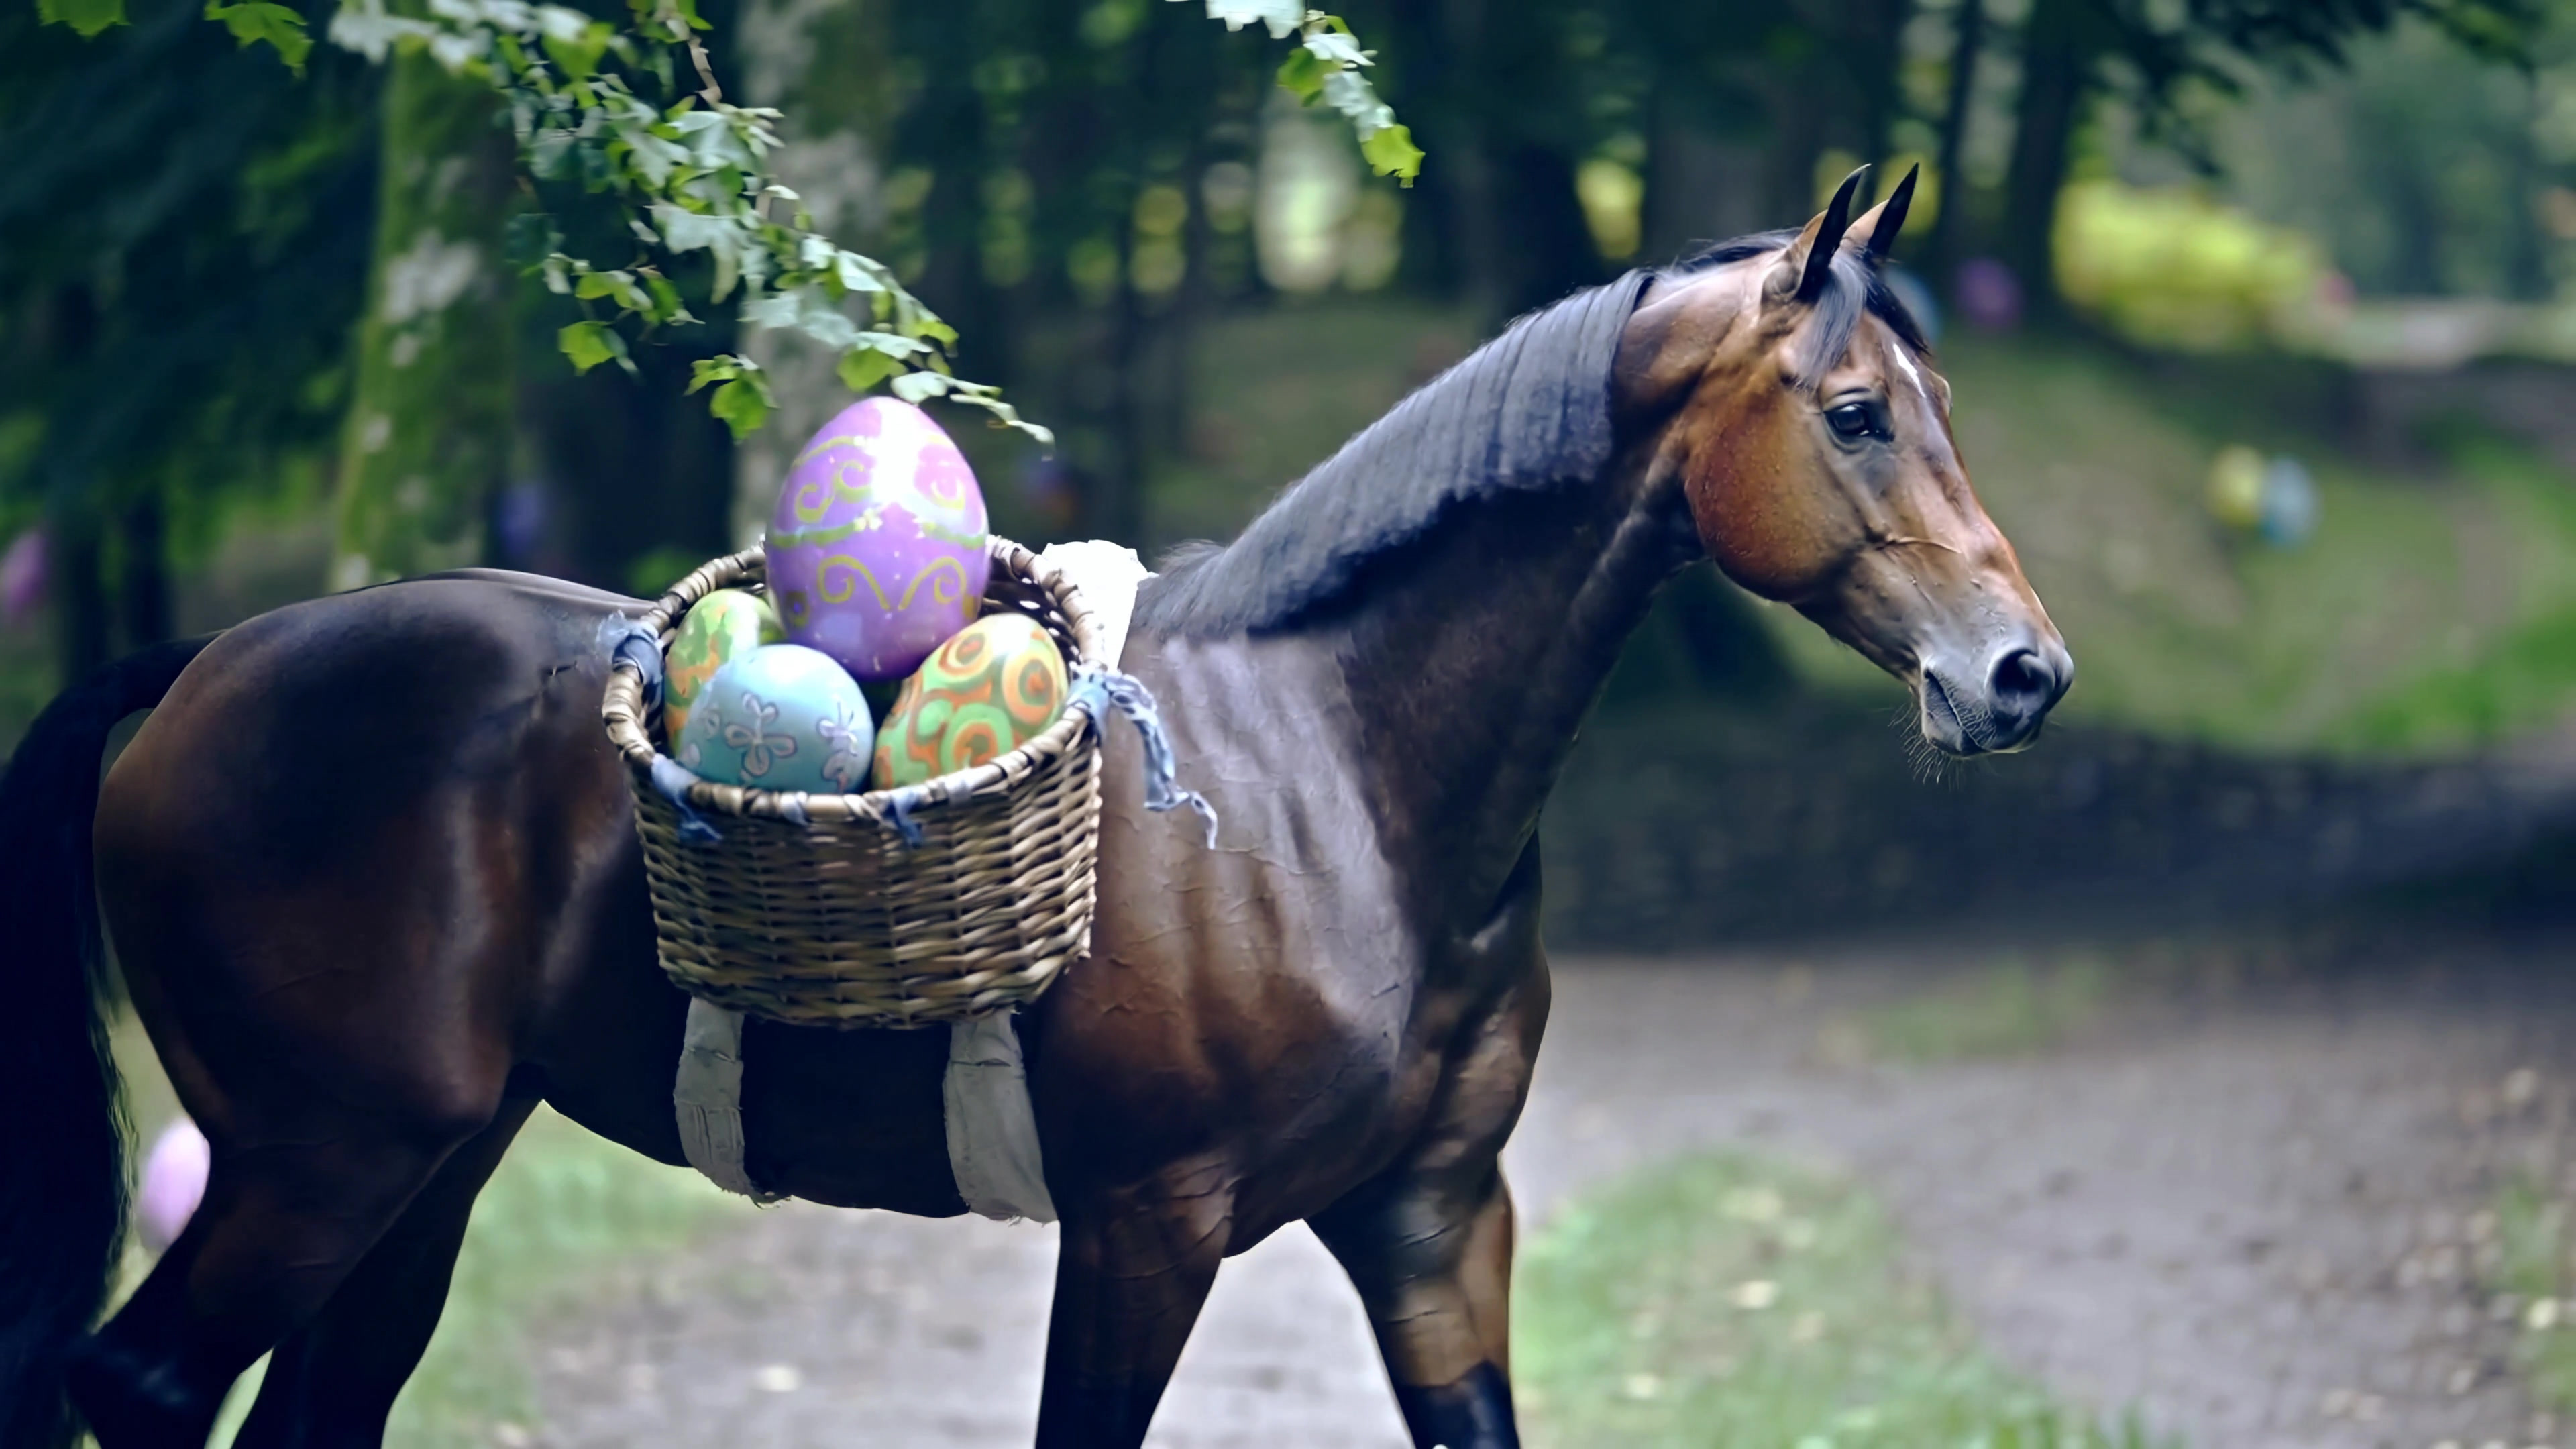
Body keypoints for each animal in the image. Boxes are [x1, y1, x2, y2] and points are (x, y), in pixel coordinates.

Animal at [1, 166, 2068, 1448]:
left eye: (1945, 404)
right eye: (1860, 412)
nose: (2020, 672)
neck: (1338, 772)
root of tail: (199, 666)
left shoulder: (1431, 1219)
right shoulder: (1149, 1226)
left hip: (420, 1169)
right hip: (318, 1158)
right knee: (141, 1388)